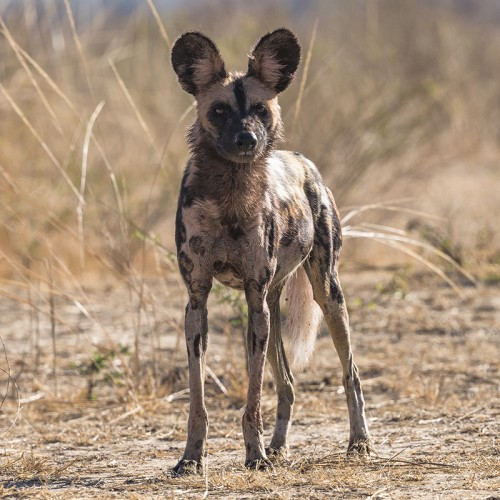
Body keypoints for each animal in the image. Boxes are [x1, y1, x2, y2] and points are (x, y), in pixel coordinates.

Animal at [172, 27, 372, 472]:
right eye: (219, 111)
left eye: (260, 110)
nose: (247, 139)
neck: (230, 196)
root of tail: (300, 158)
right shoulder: (198, 303)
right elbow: (198, 402)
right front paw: (192, 458)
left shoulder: (254, 300)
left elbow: (252, 401)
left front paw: (255, 455)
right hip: (273, 308)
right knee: (288, 383)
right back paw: (280, 446)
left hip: (325, 296)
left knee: (350, 373)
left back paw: (359, 442)